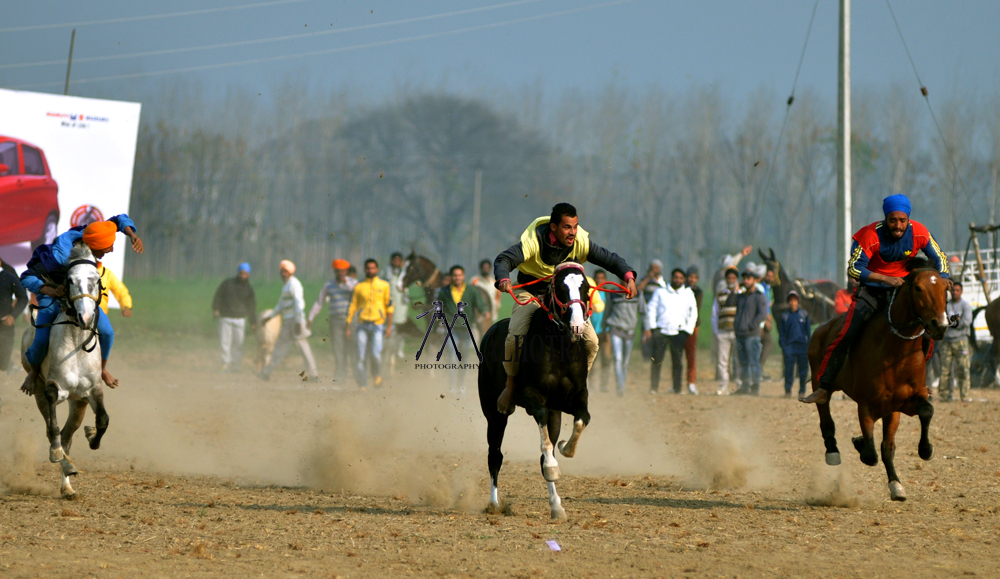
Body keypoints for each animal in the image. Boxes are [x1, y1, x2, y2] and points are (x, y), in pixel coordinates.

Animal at [20, 242, 113, 500]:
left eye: (96, 280)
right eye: (70, 280)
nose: (86, 317)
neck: (77, 344)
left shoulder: (92, 391)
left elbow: (103, 419)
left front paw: (92, 437)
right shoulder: (54, 388)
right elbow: (53, 428)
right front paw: (55, 453)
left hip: (78, 403)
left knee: (68, 435)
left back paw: (68, 485)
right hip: (40, 393)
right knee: (54, 431)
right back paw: (64, 463)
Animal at [476, 264, 592, 520]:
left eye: (586, 287)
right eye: (560, 288)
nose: (577, 325)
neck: (559, 348)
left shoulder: (572, 400)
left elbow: (582, 419)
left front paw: (565, 448)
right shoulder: (533, 398)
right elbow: (542, 430)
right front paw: (552, 466)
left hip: (555, 414)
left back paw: (556, 506)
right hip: (493, 413)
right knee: (494, 455)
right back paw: (494, 504)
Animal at [804, 262, 944, 502]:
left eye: (945, 287)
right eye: (918, 288)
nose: (941, 324)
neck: (895, 352)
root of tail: (823, 327)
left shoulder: (899, 405)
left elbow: (912, 424)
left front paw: (901, 479)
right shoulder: (867, 405)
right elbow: (870, 453)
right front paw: (860, 442)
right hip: (818, 380)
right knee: (825, 413)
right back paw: (832, 450)